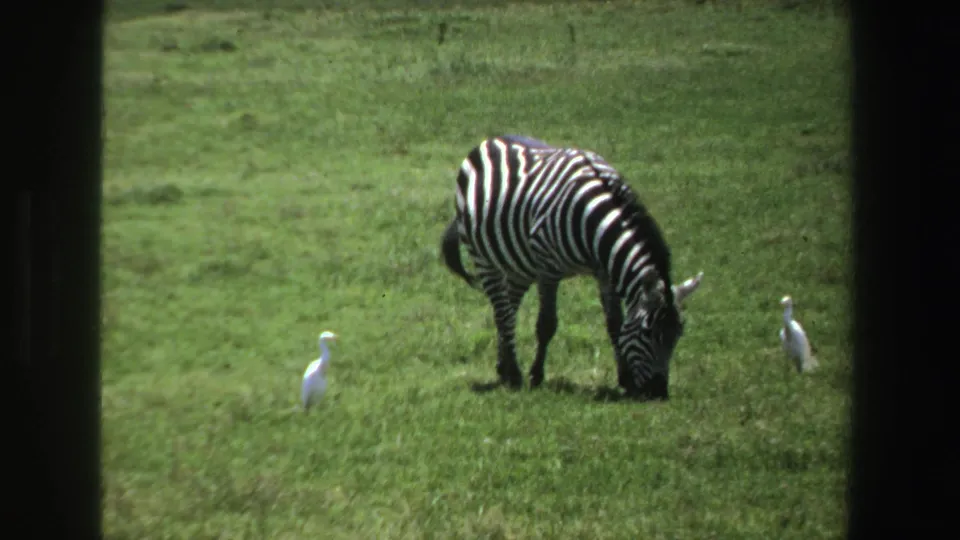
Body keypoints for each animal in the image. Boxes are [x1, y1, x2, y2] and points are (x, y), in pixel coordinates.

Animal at [440, 135, 702, 400]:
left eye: (679, 333)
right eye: (647, 332)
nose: (658, 394)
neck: (594, 224)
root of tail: (493, 139)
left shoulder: (604, 273)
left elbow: (615, 324)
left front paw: (625, 378)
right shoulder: (548, 268)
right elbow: (546, 324)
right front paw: (536, 376)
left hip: (518, 265)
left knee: (509, 308)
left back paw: (504, 368)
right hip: (483, 256)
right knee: (501, 312)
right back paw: (513, 374)